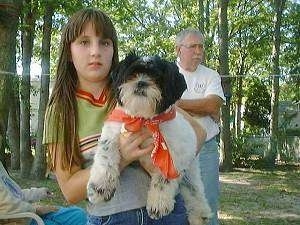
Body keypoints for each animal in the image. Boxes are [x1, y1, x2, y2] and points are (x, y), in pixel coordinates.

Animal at [88, 51, 212, 224]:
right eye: (132, 74)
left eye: (157, 78)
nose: (141, 83)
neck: (144, 120)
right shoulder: (114, 128)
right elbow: (105, 154)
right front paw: (100, 186)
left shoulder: (175, 152)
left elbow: (164, 177)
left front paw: (158, 203)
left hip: (190, 171)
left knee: (195, 193)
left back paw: (200, 215)